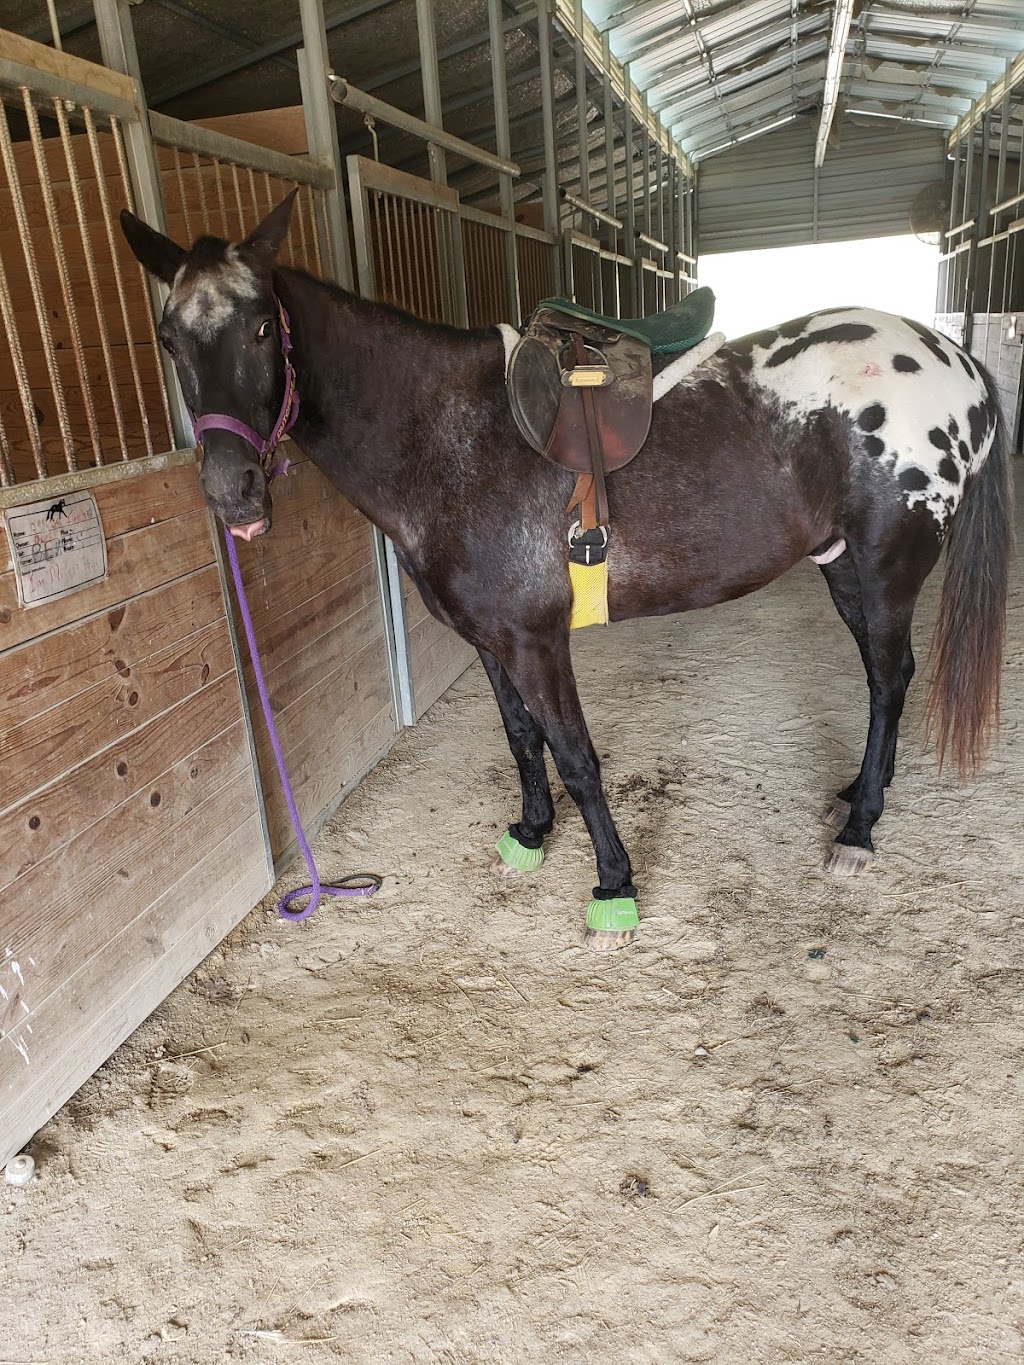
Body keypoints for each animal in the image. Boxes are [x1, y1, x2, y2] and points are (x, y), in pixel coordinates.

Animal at [122, 195, 1021, 950]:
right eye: (168, 339)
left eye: (262, 329)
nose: (231, 490)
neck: (447, 436)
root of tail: (954, 358)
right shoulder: (489, 639)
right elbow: (523, 739)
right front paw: (529, 833)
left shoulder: (536, 640)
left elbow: (578, 756)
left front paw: (614, 886)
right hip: (841, 568)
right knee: (882, 679)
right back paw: (857, 791)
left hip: (887, 568)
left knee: (890, 679)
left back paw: (859, 829)